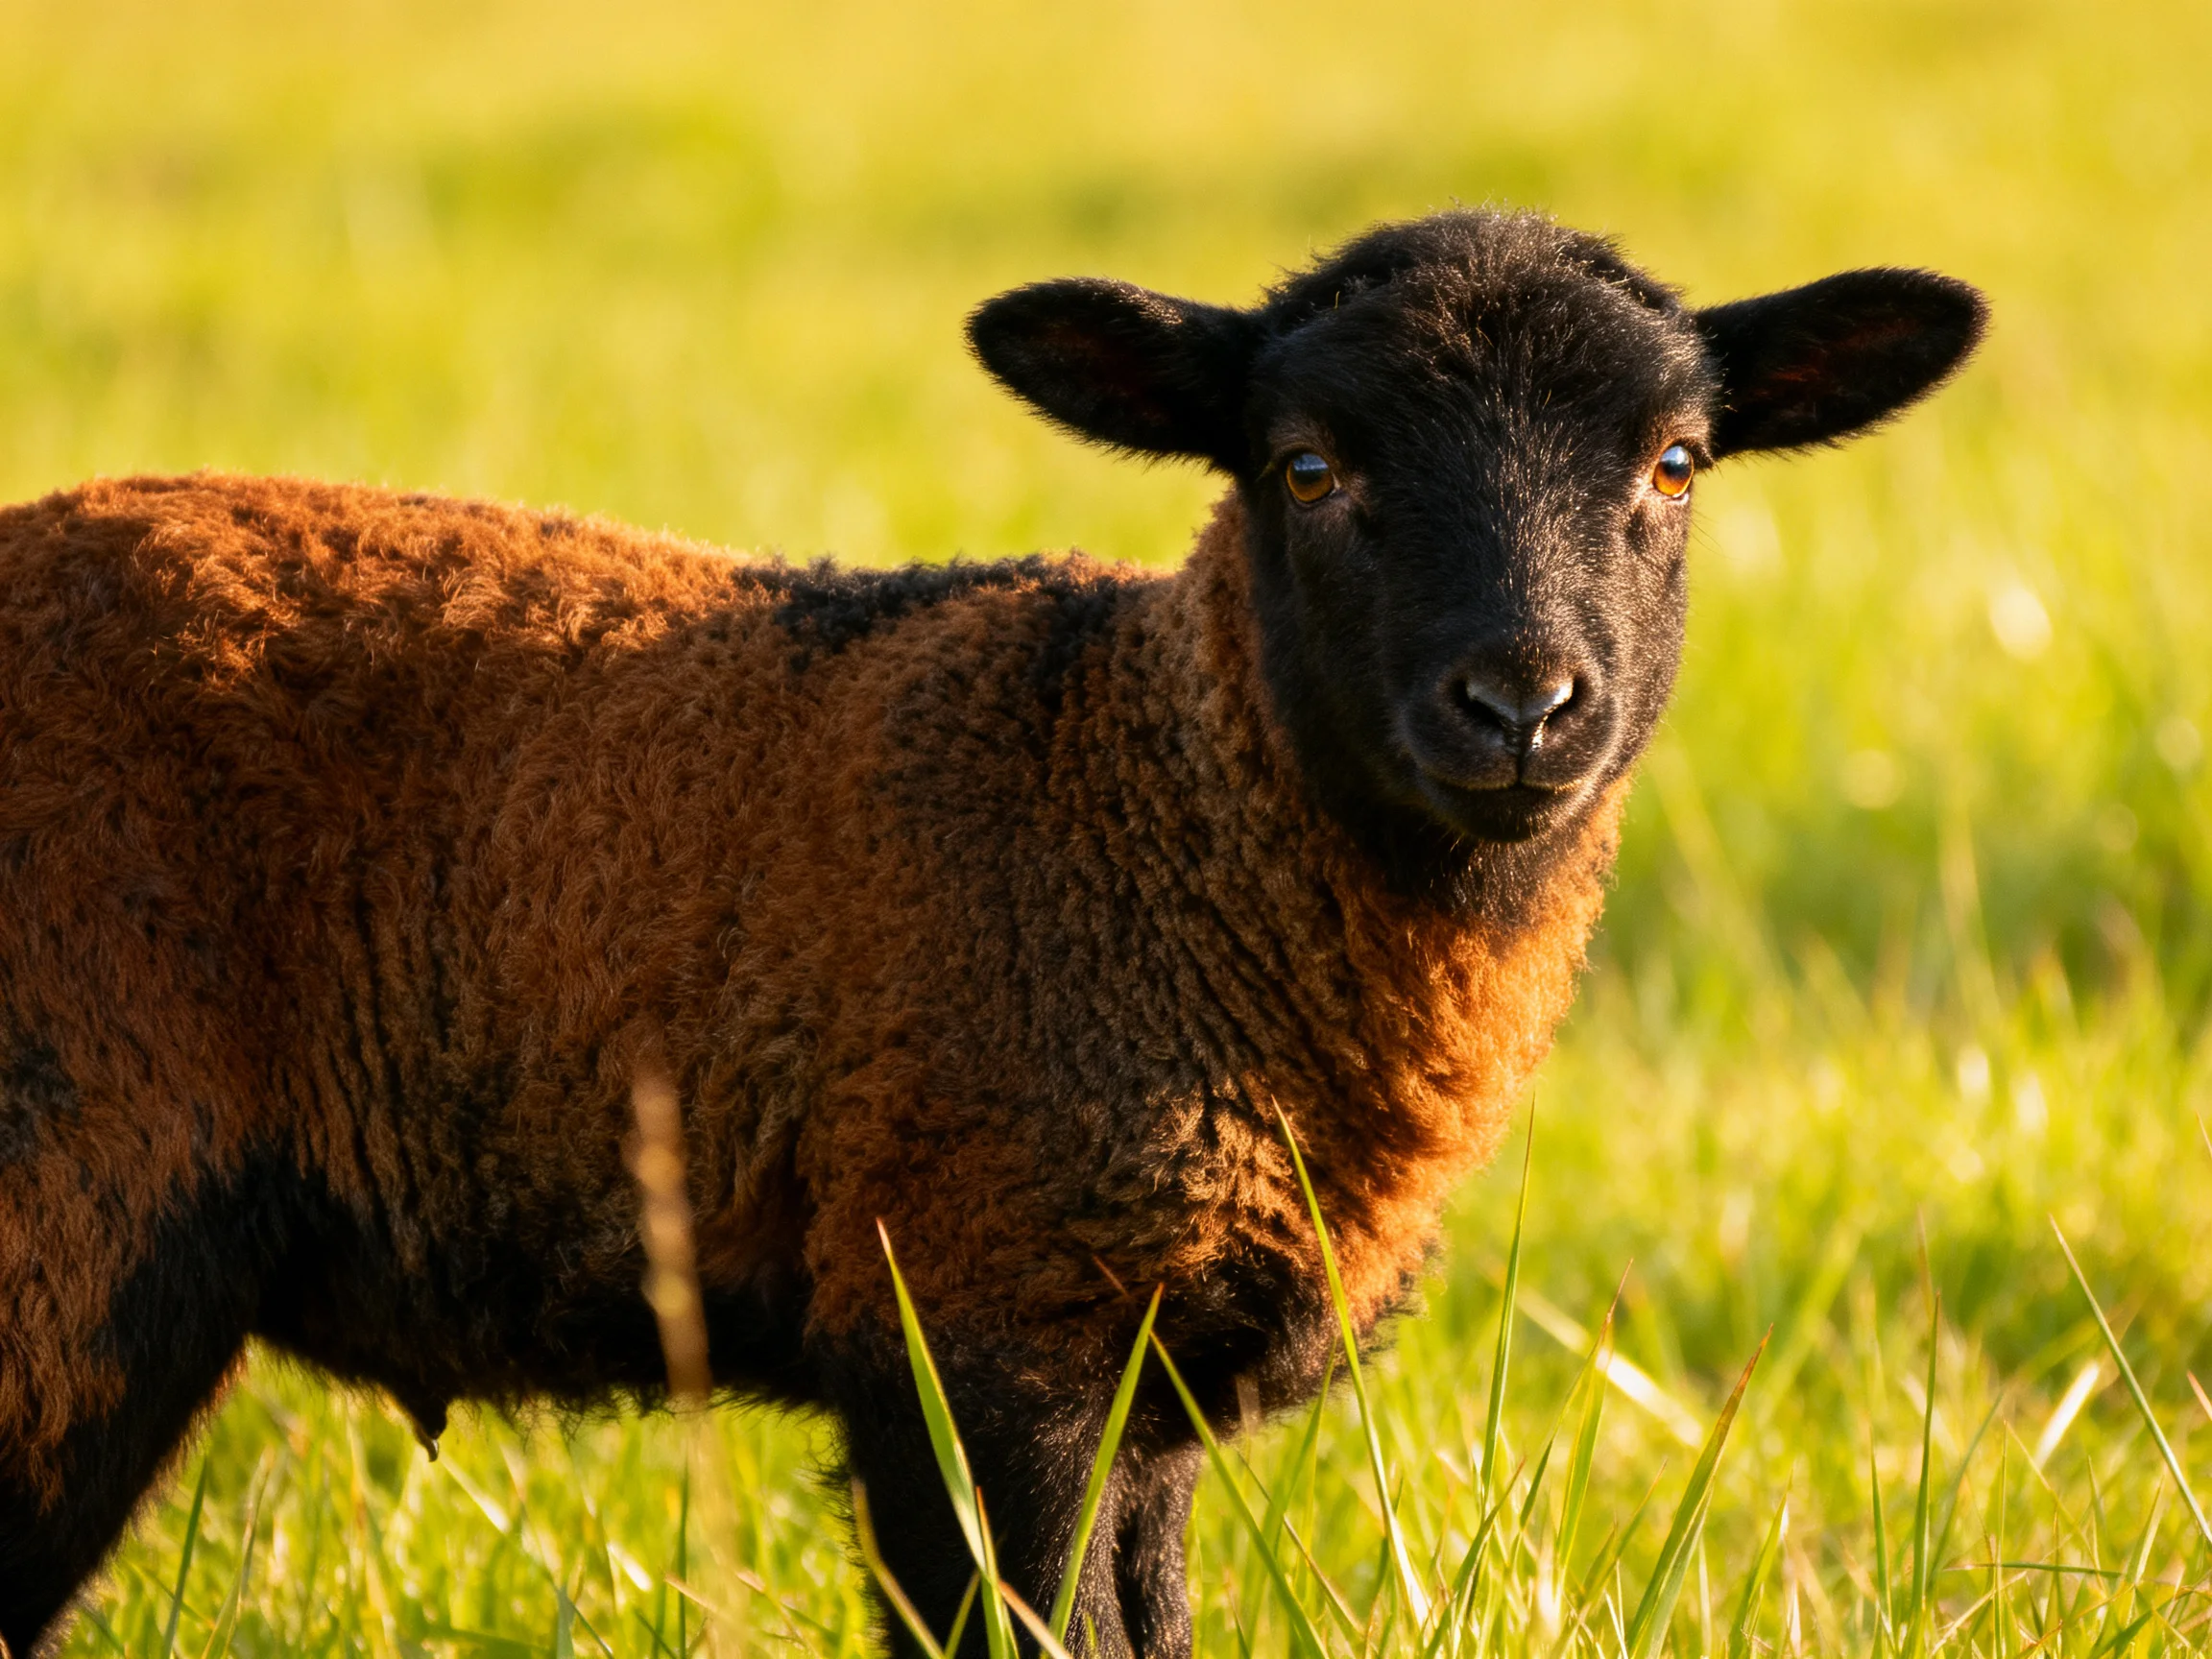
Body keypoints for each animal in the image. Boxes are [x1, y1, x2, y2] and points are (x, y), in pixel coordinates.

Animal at [0, 208, 1983, 1657]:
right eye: (1302, 466)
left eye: (1675, 461)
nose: (1518, 707)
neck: (1142, 811)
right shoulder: (971, 1318)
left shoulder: (1146, 1387)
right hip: (64, 1222)